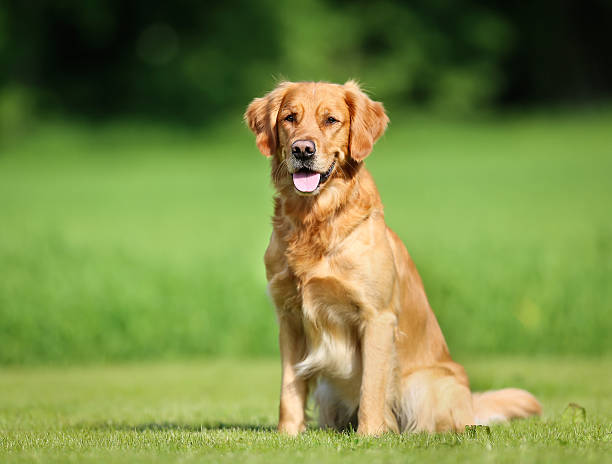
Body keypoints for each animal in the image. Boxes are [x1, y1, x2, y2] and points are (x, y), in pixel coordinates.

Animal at [244, 80, 540, 436]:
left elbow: (372, 387)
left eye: (331, 120)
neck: (314, 220)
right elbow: (289, 388)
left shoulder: (377, 317)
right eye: (290, 118)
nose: (303, 150)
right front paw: (287, 434)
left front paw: (370, 434)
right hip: (329, 391)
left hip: (427, 385)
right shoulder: (289, 318)